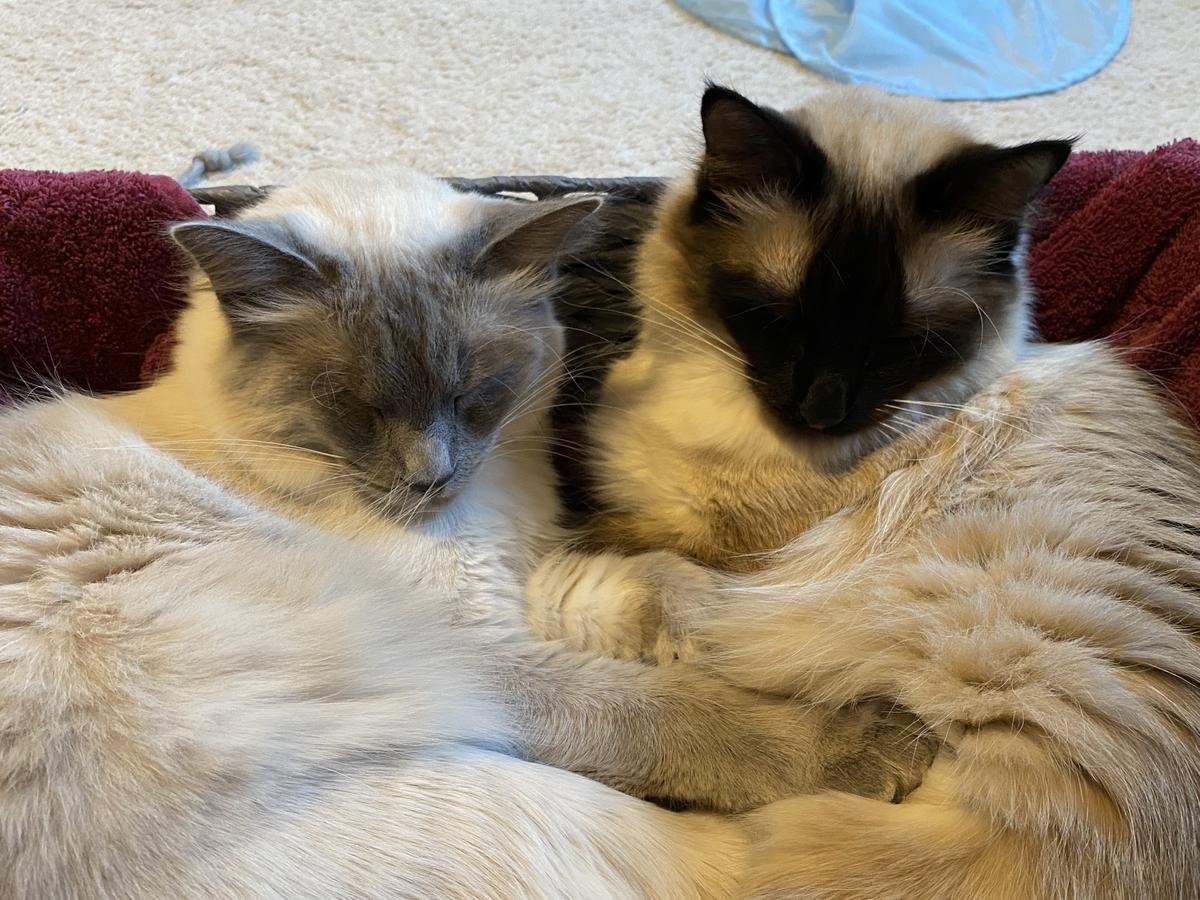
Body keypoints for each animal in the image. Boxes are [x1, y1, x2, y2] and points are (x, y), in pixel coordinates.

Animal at [0, 169, 926, 900]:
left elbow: (654, 591)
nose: (430, 476)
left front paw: (712, 622)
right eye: (355, 409)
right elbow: (659, 709)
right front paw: (866, 735)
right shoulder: (471, 640)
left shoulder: (530, 578)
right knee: (750, 857)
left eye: (476, 389)